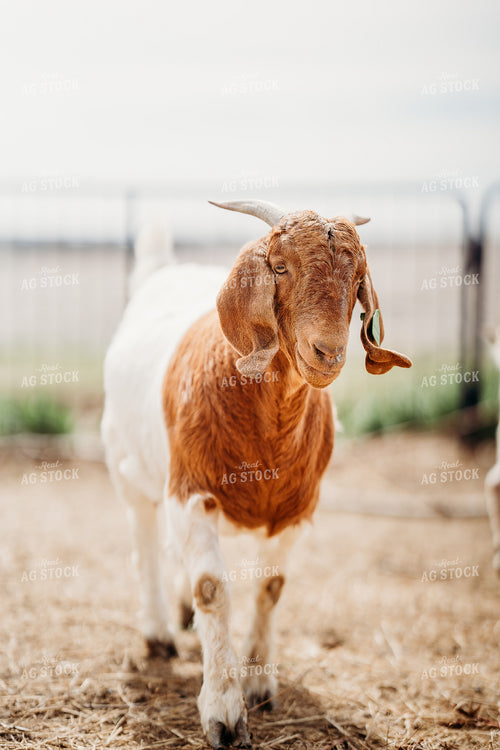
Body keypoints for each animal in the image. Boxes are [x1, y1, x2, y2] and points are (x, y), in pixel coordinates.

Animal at [101, 199, 412, 749]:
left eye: (358, 278)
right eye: (280, 267)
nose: (327, 353)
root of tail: (163, 271)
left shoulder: (295, 509)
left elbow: (271, 588)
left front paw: (260, 683)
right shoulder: (192, 493)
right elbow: (212, 588)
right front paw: (224, 712)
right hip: (127, 464)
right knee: (145, 543)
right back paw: (158, 632)